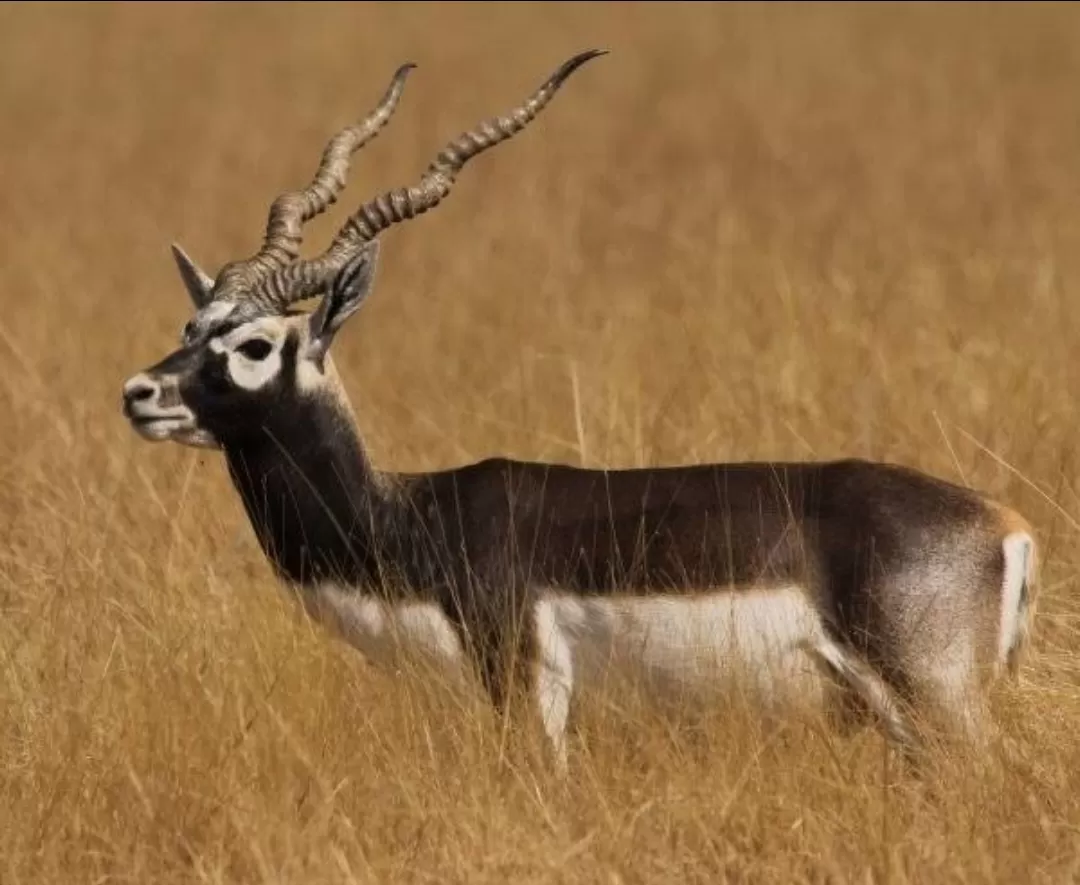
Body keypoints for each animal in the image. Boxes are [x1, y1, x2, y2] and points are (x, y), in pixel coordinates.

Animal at [122, 50, 1041, 769]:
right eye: (192, 326)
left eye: (254, 344)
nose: (140, 393)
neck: (411, 519)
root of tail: (1007, 526)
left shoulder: (529, 687)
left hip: (936, 706)